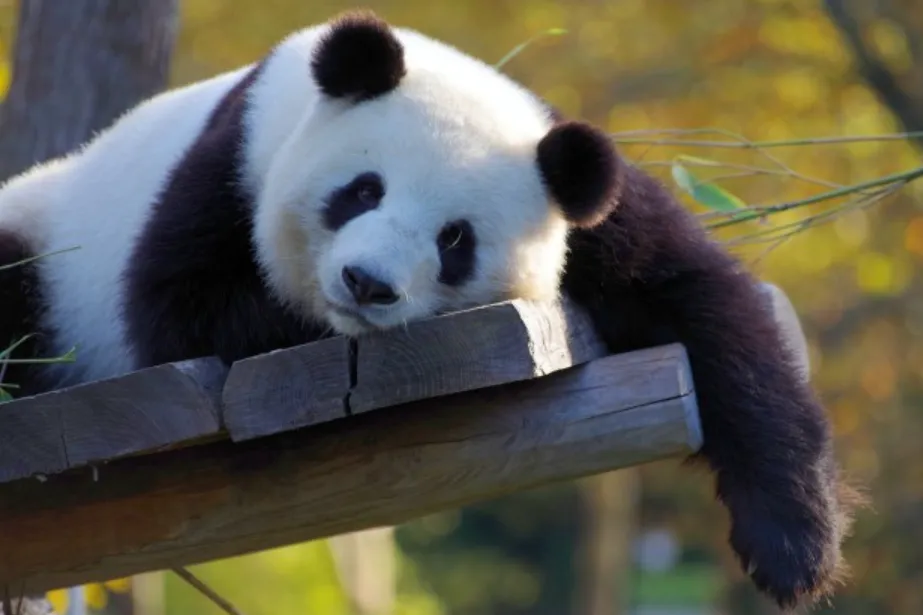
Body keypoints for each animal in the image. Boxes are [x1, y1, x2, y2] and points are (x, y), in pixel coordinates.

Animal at [0, 9, 859, 611]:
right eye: (362, 190)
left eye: (455, 239)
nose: (366, 283)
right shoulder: (233, 160)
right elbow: (183, 305)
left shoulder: (584, 202)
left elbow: (705, 305)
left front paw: (795, 547)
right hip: (44, 243)